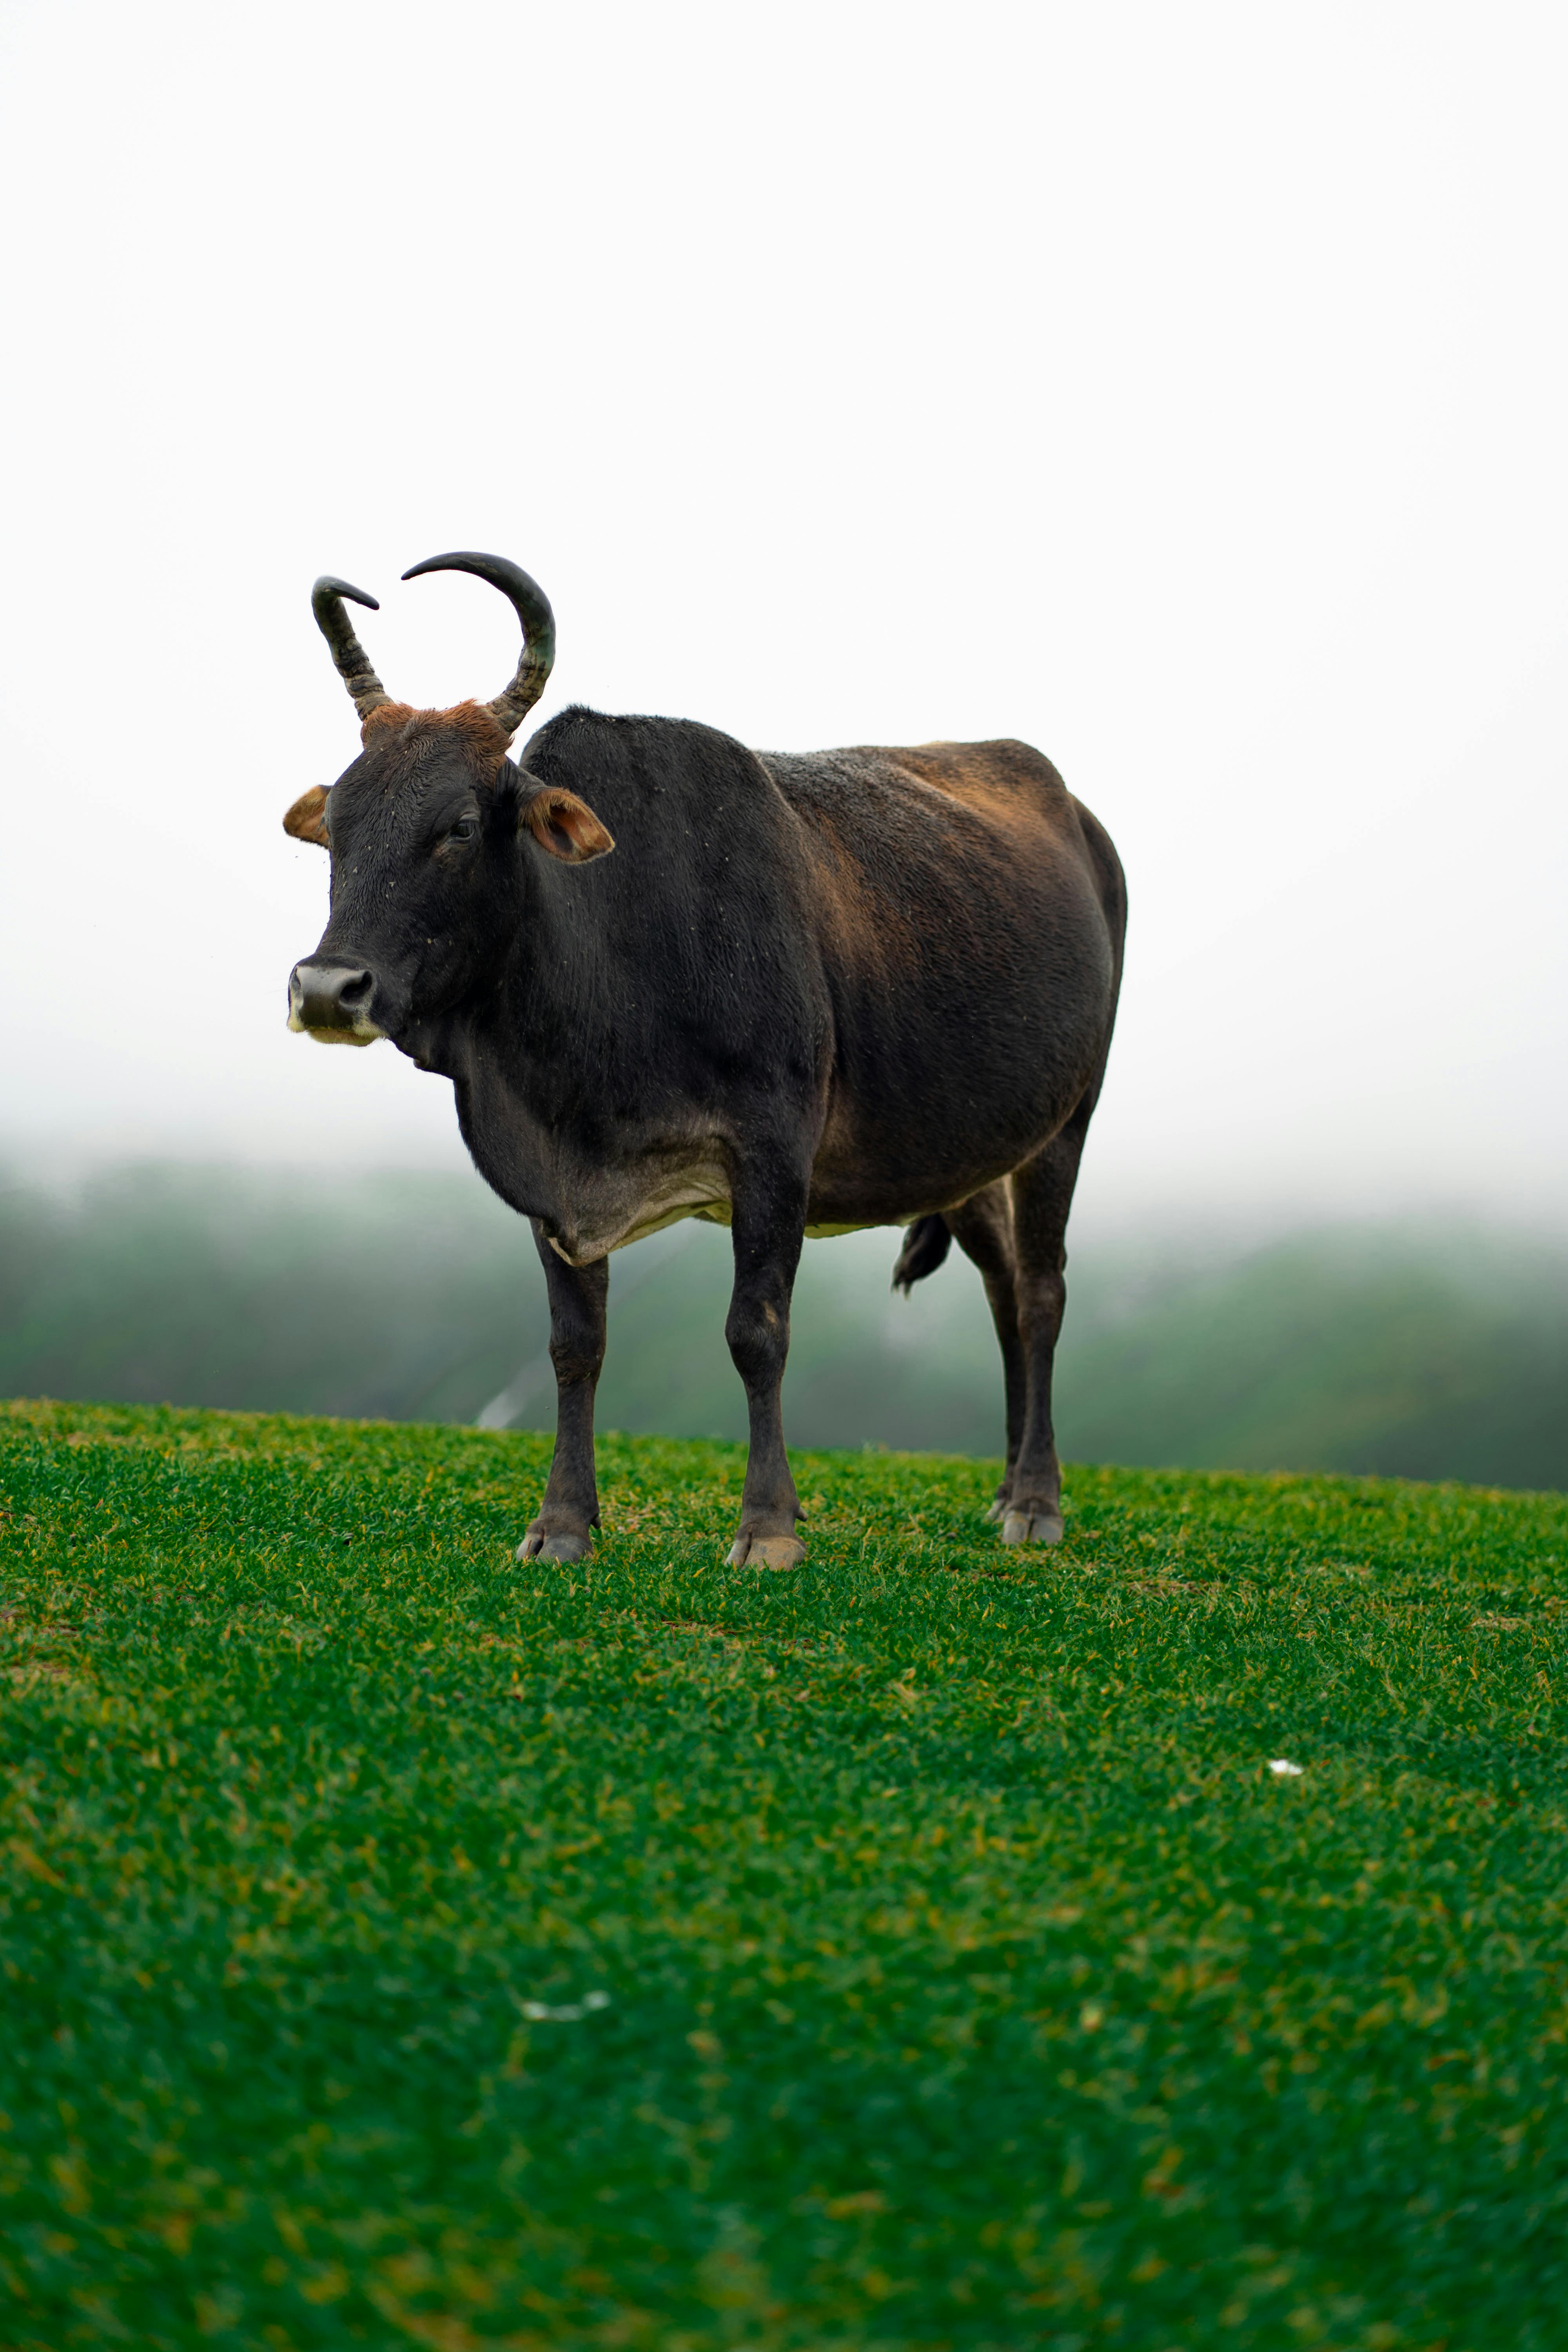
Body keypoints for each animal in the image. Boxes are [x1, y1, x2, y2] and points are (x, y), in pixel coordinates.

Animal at [285, 557, 1128, 1571]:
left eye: (457, 824)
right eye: (336, 823)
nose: (327, 988)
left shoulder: (772, 1150)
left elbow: (754, 1332)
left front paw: (766, 1527)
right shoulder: (549, 1183)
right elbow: (575, 1343)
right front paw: (561, 1524)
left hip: (1066, 1121)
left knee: (1040, 1293)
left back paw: (1035, 1502)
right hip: (964, 1154)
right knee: (1003, 1291)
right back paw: (1004, 1488)